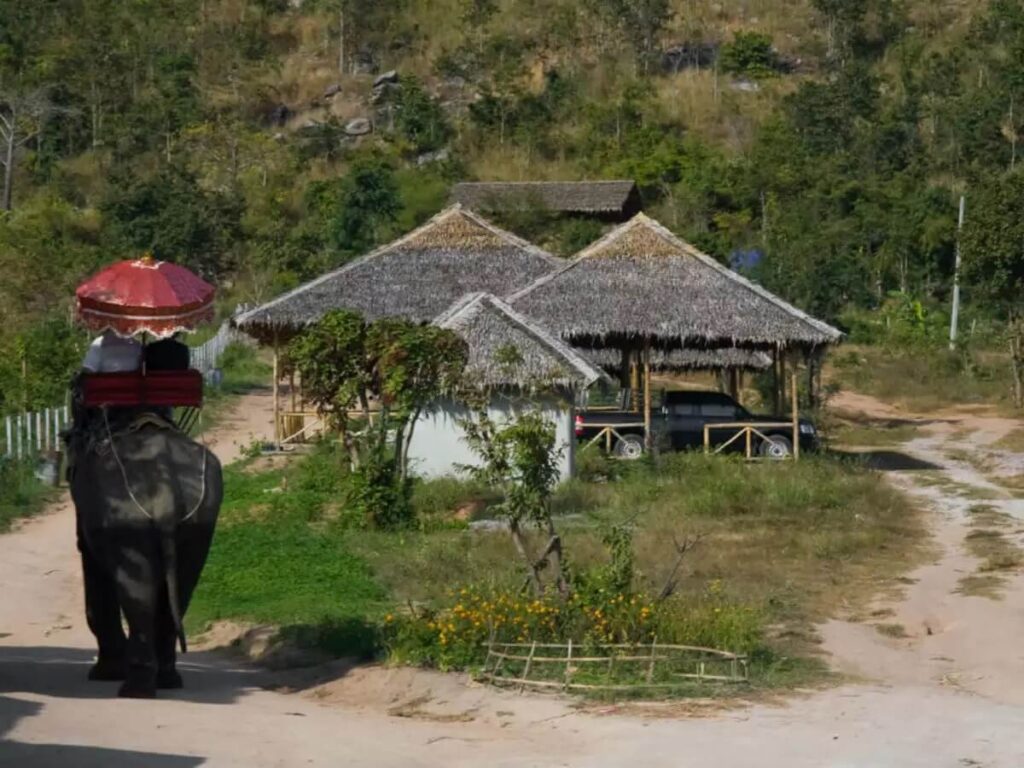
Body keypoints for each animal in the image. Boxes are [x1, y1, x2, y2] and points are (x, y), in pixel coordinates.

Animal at [68, 415, 223, 699]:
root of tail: (166, 497)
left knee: (138, 595)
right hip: (202, 518)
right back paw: (167, 680)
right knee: (181, 589)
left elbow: (93, 564)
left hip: (127, 516)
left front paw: (104, 674)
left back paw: (134, 689)